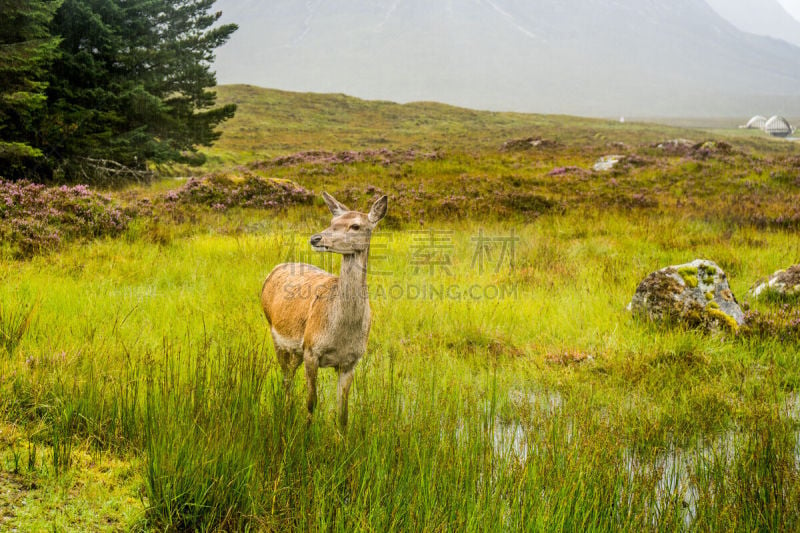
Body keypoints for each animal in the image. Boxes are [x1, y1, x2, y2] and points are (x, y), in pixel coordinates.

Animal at [260, 191, 390, 428]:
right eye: (332, 222)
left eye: (355, 226)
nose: (316, 238)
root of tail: (274, 270)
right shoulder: (312, 350)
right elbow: (311, 402)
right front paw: (306, 434)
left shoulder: (350, 361)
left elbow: (343, 414)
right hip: (277, 338)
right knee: (286, 380)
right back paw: (286, 416)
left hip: (296, 351)